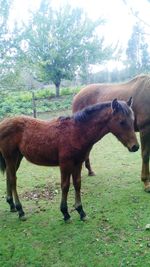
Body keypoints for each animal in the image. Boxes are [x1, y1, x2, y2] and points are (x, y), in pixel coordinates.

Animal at [0, 99, 138, 221]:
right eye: (121, 122)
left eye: (132, 120)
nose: (135, 147)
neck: (76, 131)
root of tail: (3, 123)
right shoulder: (65, 164)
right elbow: (65, 185)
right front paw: (65, 213)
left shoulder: (78, 163)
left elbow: (77, 183)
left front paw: (81, 211)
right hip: (10, 157)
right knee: (13, 180)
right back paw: (20, 210)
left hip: (17, 158)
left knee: (9, 176)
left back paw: (12, 205)